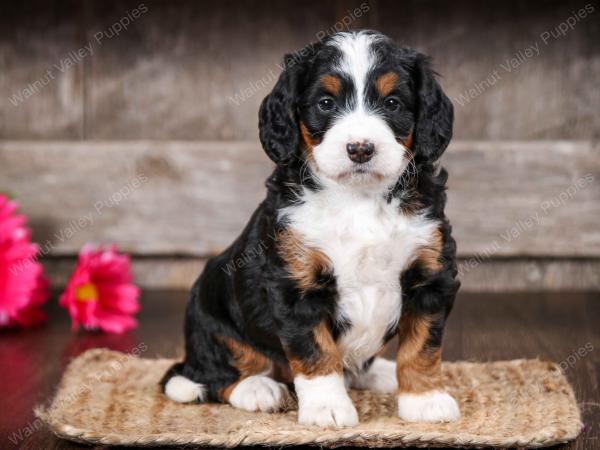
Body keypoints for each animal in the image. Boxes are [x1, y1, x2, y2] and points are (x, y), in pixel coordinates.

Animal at [159, 29, 460, 428]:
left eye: (393, 103)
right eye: (326, 103)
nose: (360, 149)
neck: (358, 199)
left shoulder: (430, 275)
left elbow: (423, 345)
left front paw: (426, 399)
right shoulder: (296, 284)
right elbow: (316, 352)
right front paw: (327, 408)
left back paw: (376, 372)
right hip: (209, 313)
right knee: (215, 371)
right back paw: (258, 389)